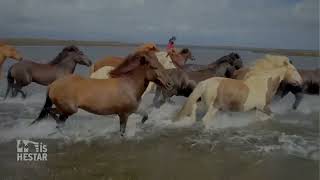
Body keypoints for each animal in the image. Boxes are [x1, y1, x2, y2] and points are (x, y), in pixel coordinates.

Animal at [30, 50, 172, 135]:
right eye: (154, 67)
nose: (169, 83)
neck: (128, 86)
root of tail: (53, 85)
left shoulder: (133, 110)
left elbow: (145, 116)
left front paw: (140, 125)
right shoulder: (124, 114)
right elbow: (122, 131)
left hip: (65, 109)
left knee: (52, 113)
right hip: (68, 109)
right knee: (52, 113)